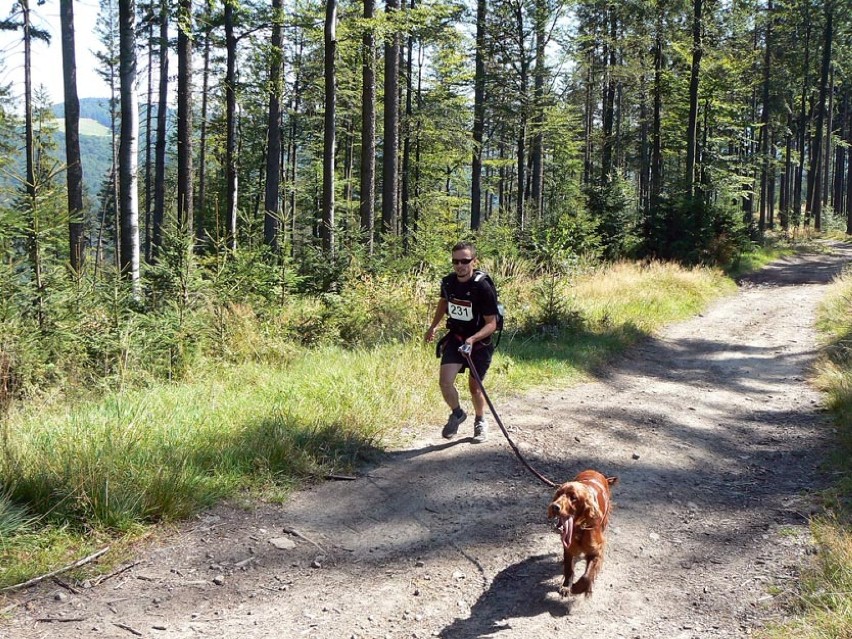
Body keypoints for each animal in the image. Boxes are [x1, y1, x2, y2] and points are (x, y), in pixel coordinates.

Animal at [544, 468, 620, 596]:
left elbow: (586, 576)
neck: (579, 528)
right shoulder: (569, 547)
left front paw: (577, 588)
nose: (554, 506)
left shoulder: (597, 550)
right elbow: (569, 569)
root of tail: (594, 471)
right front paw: (566, 586)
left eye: (573, 497)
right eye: (558, 494)